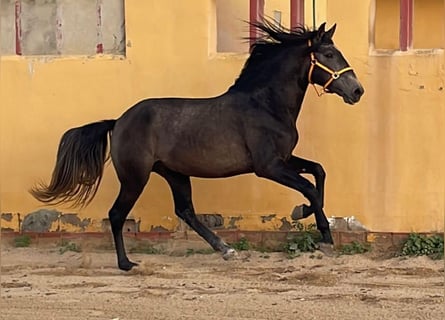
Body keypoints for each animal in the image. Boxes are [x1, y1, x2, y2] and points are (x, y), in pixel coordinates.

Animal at [32, 21, 364, 270]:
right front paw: (324, 236)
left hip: (174, 173)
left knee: (186, 211)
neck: (265, 104)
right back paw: (126, 264)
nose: (357, 91)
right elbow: (309, 187)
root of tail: (118, 121)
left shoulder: (285, 158)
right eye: (329, 54)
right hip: (135, 177)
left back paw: (226, 249)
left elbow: (318, 172)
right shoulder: (268, 166)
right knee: (117, 214)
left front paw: (302, 212)